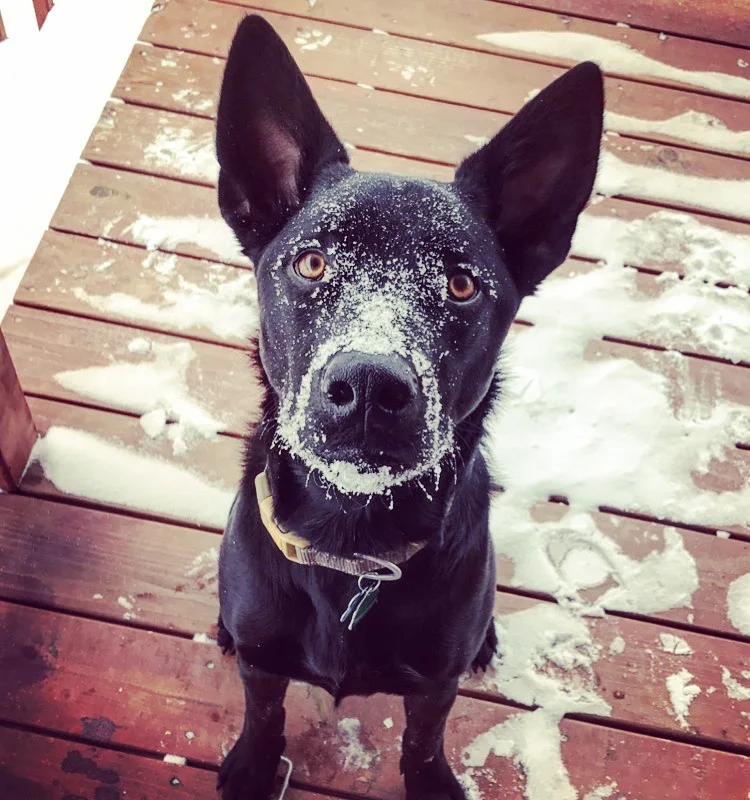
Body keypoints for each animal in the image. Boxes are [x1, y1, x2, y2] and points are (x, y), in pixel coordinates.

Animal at [214, 15, 603, 799]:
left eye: (462, 285)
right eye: (311, 263)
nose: (369, 384)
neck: (352, 541)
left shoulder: (433, 683)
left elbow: (423, 739)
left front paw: (431, 781)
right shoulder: (263, 660)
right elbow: (264, 713)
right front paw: (251, 766)